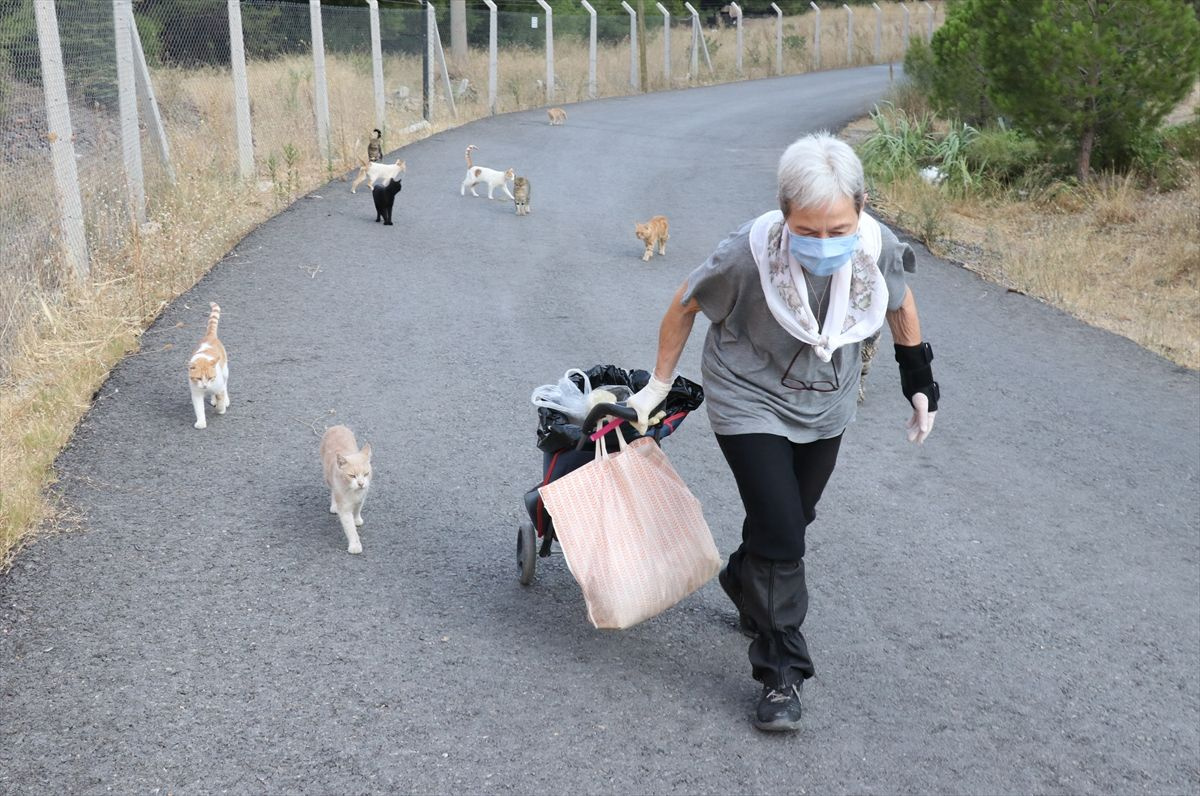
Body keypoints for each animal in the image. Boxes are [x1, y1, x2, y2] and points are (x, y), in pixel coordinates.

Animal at [321, 427, 372, 557]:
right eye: (352, 476)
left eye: (366, 474)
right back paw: (334, 505)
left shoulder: (362, 496)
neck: (353, 492)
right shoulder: (344, 508)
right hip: (328, 477)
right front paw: (355, 545)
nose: (361, 483)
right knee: (333, 490)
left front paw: (357, 519)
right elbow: (350, 528)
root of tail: (337, 426)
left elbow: (358, 508)